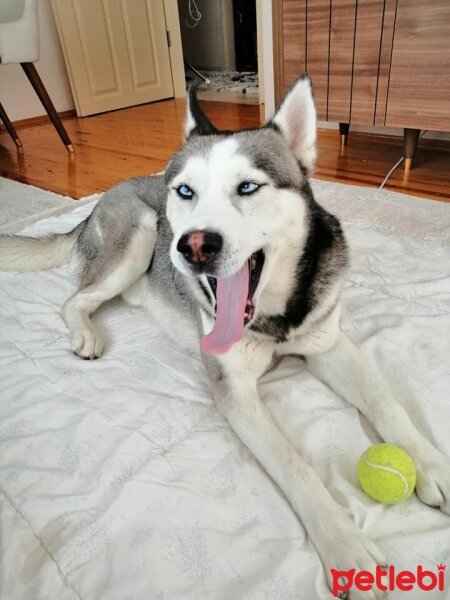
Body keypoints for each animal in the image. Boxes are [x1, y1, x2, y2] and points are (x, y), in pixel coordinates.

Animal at [0, 77, 450, 596]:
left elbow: (385, 400)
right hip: (140, 232)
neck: (275, 318)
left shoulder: (328, 346)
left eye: (248, 187)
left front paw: (430, 463)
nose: (194, 246)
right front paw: (346, 545)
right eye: (186, 191)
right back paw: (87, 332)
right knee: (74, 299)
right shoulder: (235, 390)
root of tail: (102, 197)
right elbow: (293, 464)